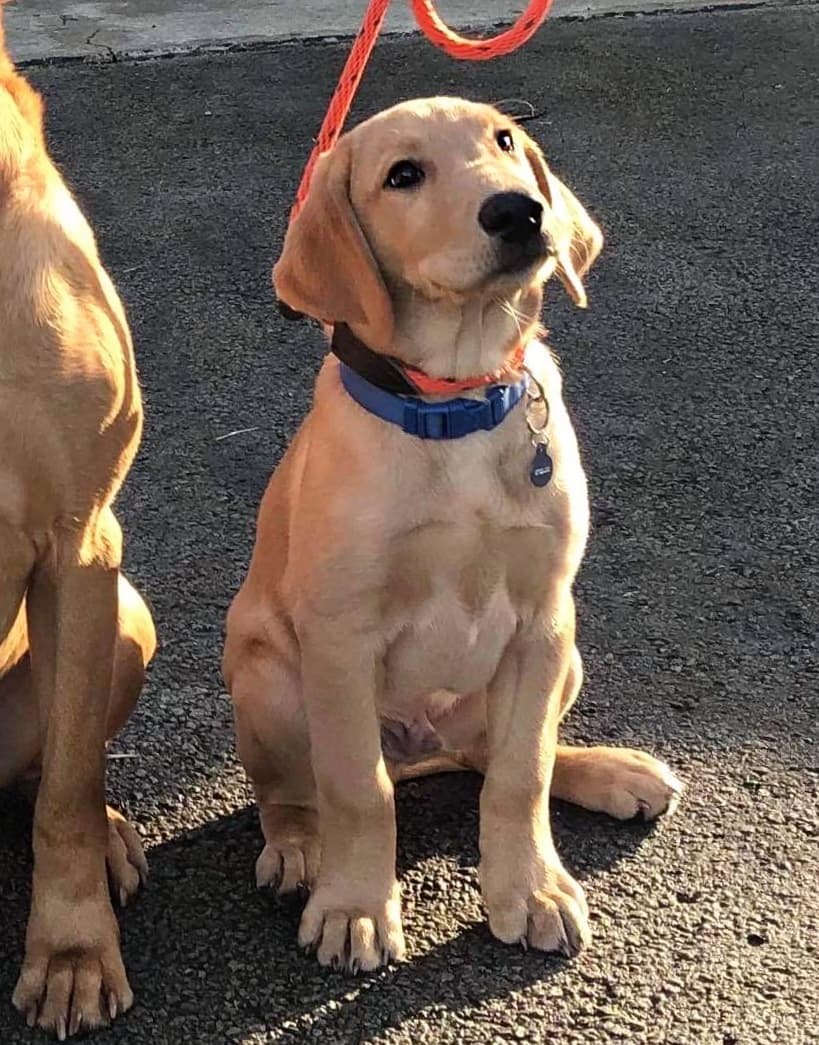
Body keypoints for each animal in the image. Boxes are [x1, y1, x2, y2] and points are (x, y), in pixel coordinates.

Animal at [220, 96, 681, 969]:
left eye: (503, 141)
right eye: (403, 174)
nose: (518, 210)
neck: (455, 400)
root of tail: (418, 744)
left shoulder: (542, 620)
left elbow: (520, 773)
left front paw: (530, 889)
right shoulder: (341, 636)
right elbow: (356, 789)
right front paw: (355, 907)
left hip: (566, 655)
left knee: (496, 754)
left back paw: (612, 772)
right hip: (265, 675)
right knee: (296, 790)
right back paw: (297, 851)